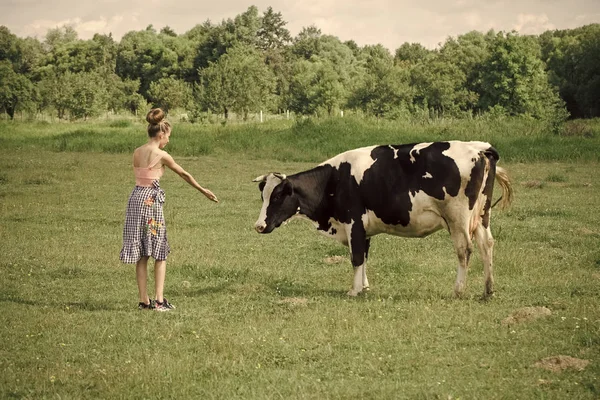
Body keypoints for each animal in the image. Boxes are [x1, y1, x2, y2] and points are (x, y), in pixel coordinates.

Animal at [252, 139, 510, 298]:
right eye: (263, 195)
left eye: (277, 196)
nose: (259, 225)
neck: (333, 180)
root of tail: (477, 147)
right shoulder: (363, 229)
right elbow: (364, 256)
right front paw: (364, 287)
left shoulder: (353, 222)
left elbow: (356, 257)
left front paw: (354, 290)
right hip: (482, 215)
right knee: (487, 245)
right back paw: (488, 291)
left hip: (458, 218)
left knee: (464, 249)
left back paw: (458, 290)